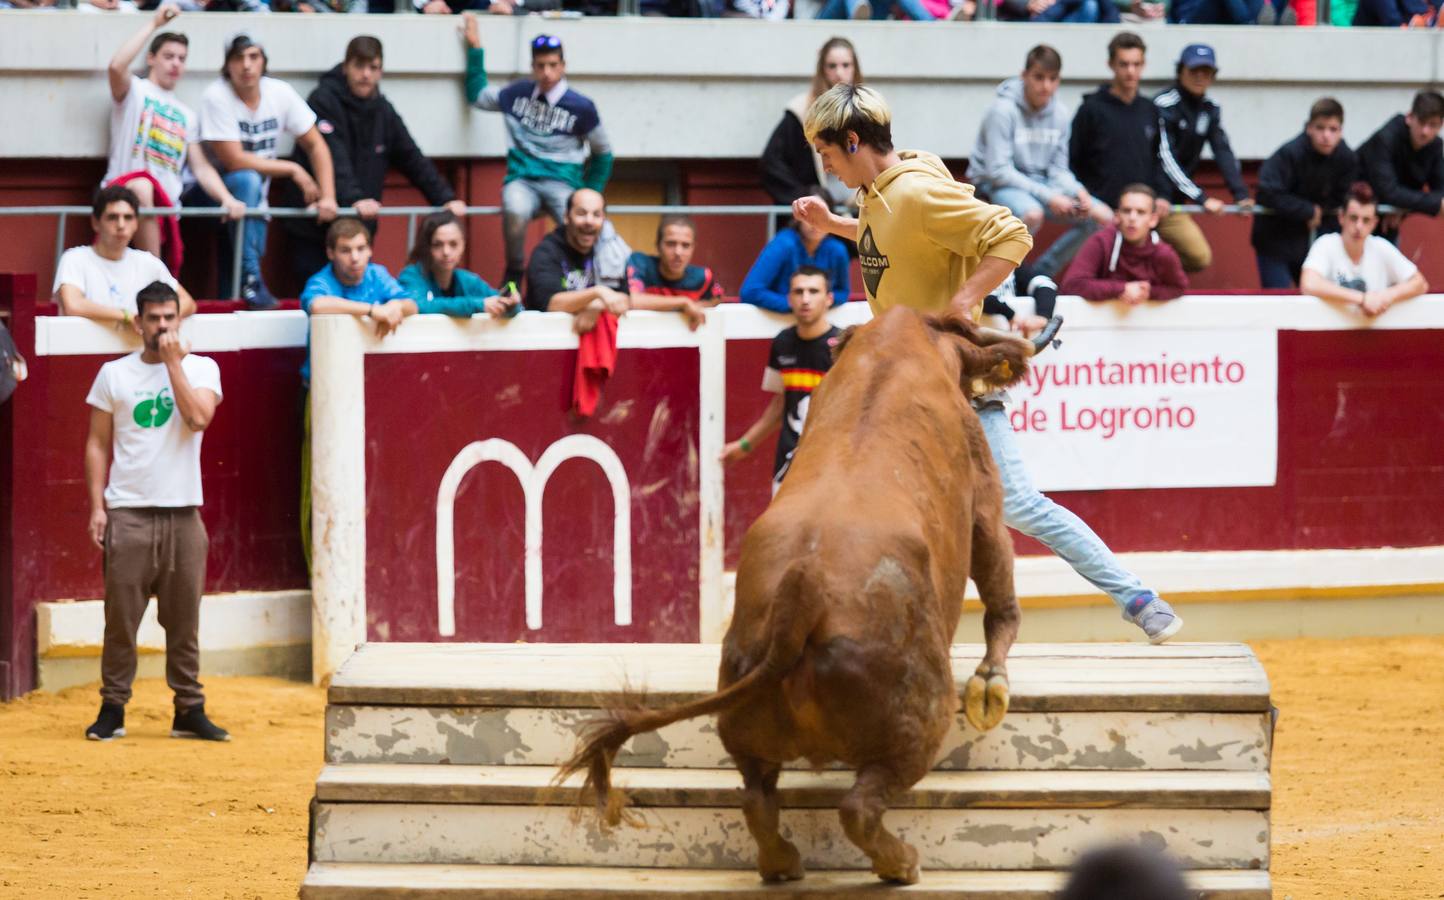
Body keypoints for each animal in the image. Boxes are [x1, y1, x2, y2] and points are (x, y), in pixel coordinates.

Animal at [557, 306, 1045, 884]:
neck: (896, 351)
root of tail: (803, 595)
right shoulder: (984, 494)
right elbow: (998, 576)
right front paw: (992, 683)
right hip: (918, 719)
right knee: (861, 805)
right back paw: (901, 863)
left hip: (745, 716)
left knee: (756, 797)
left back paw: (783, 863)